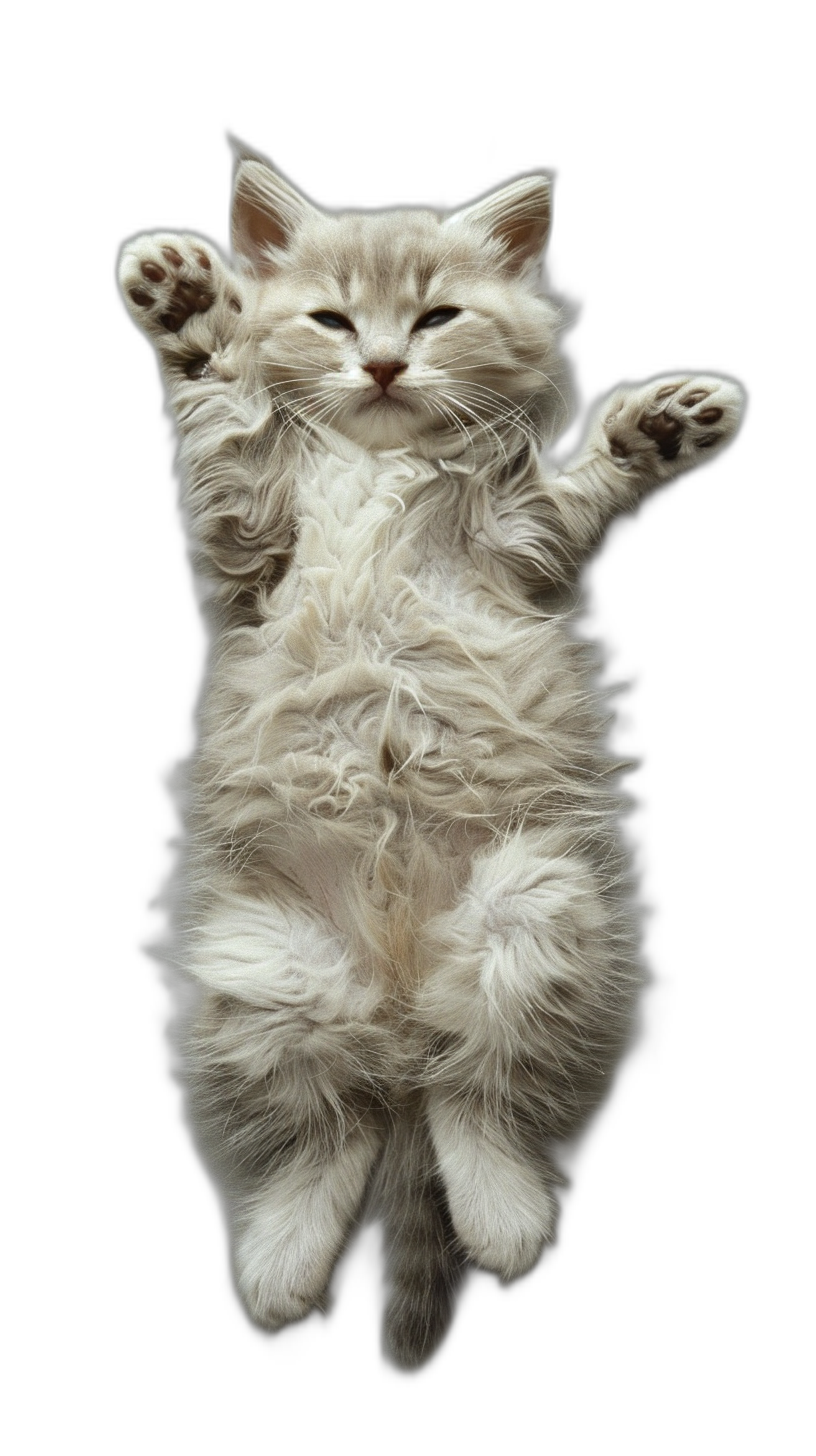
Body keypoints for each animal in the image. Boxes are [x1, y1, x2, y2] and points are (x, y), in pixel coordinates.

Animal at [118, 141, 751, 1368]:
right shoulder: (247, 544)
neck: (378, 466)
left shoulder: (527, 549)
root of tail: (402, 1018)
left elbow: (581, 488)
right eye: (329, 317)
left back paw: (501, 1217)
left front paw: (662, 428)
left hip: (543, 915)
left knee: (480, 1100)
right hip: (264, 981)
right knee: (324, 1138)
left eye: (437, 316)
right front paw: (187, 308)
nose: (378, 363)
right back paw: (281, 1268)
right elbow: (223, 410)